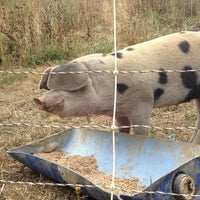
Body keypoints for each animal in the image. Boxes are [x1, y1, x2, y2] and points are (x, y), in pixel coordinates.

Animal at [34, 30, 200, 144]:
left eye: (63, 87)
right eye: (50, 87)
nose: (38, 100)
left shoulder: (143, 104)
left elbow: (141, 131)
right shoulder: (120, 113)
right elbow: (123, 129)